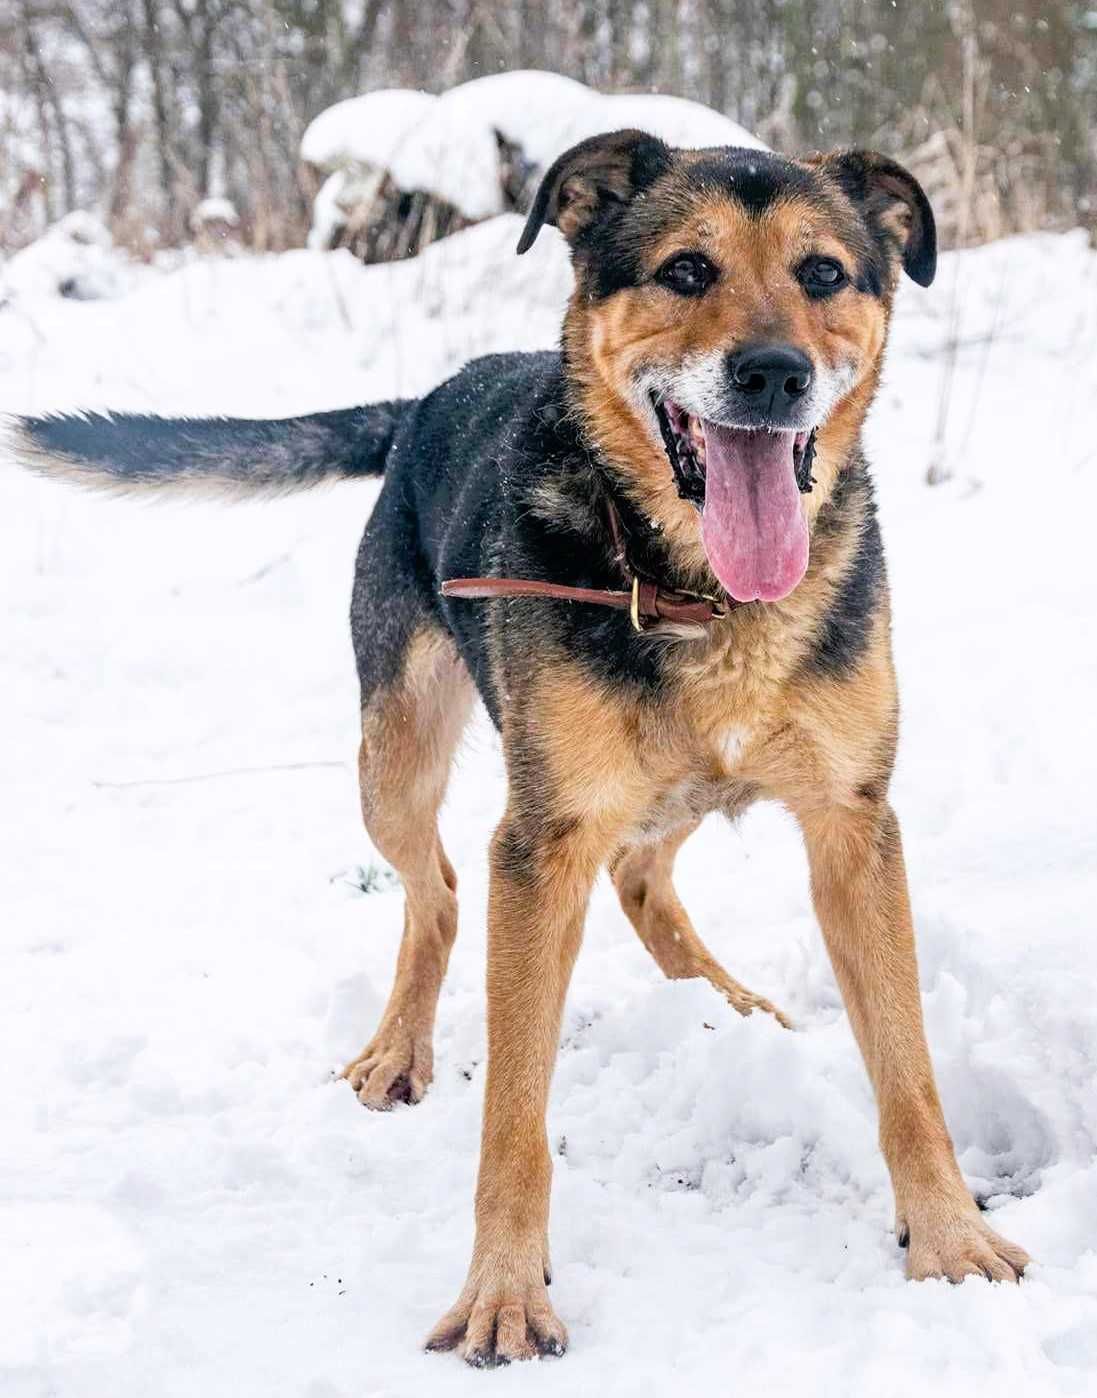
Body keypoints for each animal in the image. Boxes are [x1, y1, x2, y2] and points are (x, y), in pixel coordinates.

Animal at [6, 131, 1028, 1364]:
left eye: (823, 273)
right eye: (687, 271)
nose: (775, 373)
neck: (699, 592)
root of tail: (420, 404)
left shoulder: (851, 821)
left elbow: (908, 1072)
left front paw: (948, 1237)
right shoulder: (541, 847)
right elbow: (512, 1116)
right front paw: (503, 1291)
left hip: (667, 788)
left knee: (641, 877)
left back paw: (730, 1004)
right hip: (395, 763)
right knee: (438, 894)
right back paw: (400, 1050)